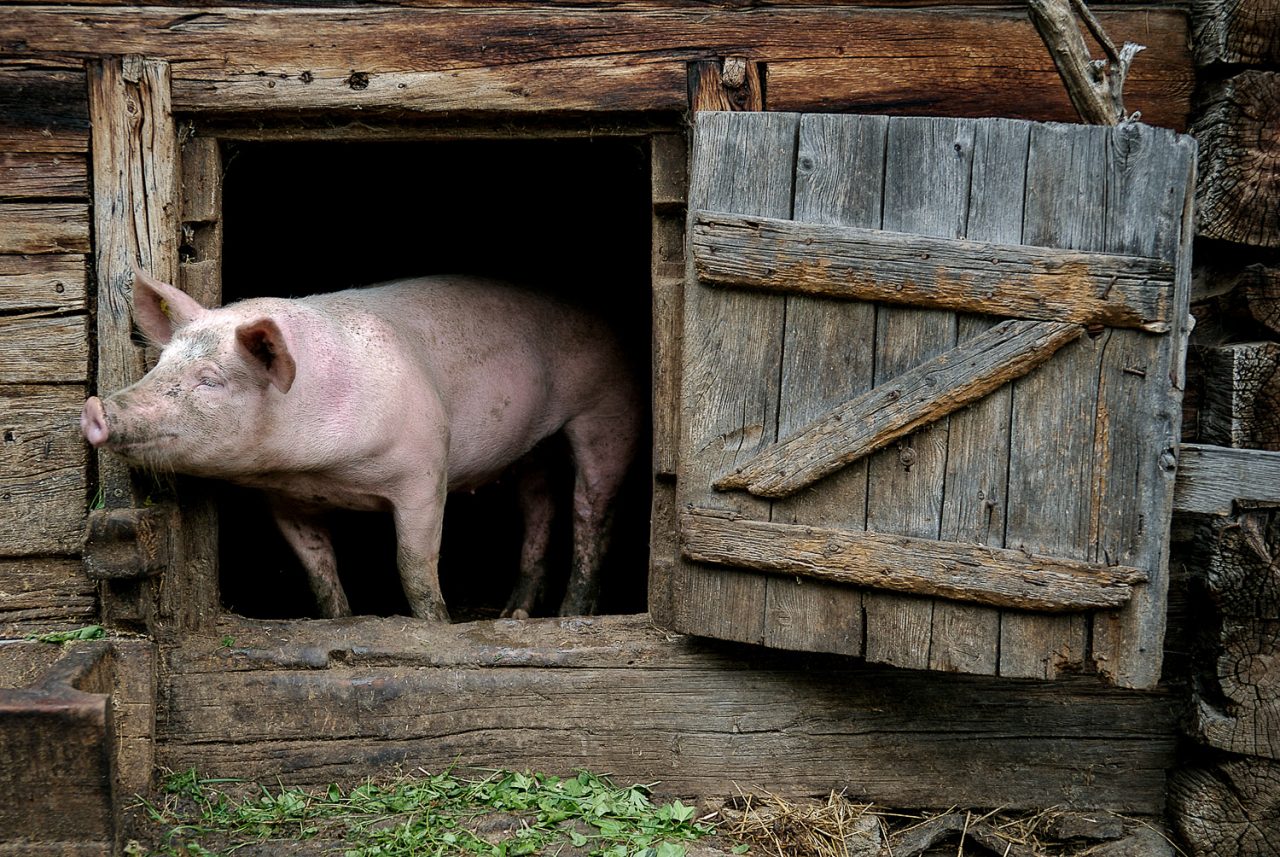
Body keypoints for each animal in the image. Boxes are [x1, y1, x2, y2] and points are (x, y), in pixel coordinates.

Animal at [80, 272, 640, 621]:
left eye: (211, 380)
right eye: (159, 364)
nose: (96, 409)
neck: (322, 471)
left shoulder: (424, 471)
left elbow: (415, 570)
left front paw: (438, 626)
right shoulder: (286, 499)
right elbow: (319, 573)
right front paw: (341, 619)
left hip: (608, 409)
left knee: (592, 511)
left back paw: (568, 614)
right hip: (532, 448)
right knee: (539, 507)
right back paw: (515, 615)